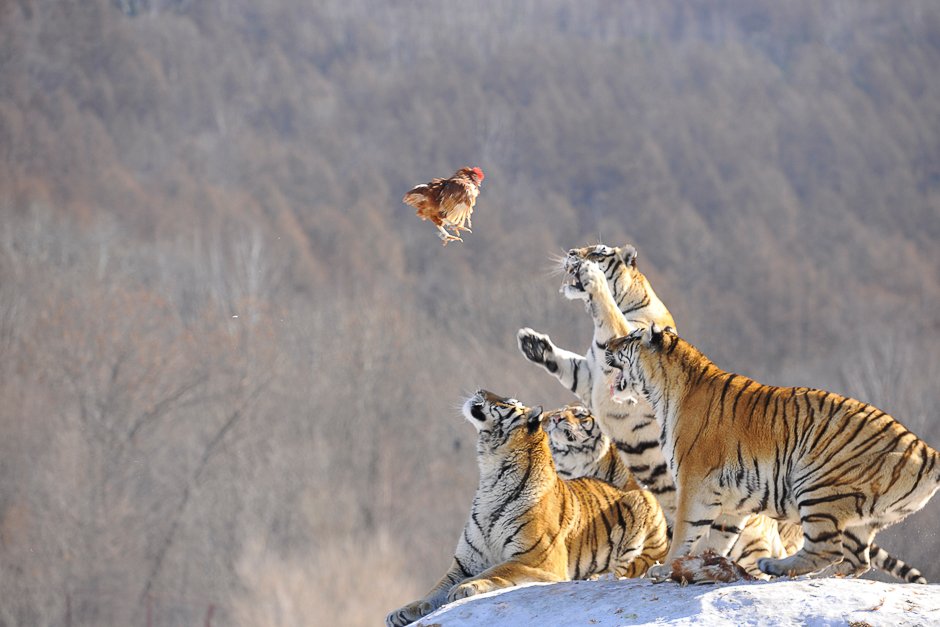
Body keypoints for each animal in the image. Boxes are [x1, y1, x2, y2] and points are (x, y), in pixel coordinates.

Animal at [386, 392, 672, 627]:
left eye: (507, 402)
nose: (479, 390)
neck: (490, 474)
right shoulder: (463, 564)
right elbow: (433, 590)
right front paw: (403, 611)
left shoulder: (537, 558)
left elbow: (499, 570)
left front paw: (467, 587)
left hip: (643, 510)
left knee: (632, 566)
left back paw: (599, 576)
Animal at [604, 324, 940, 584]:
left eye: (630, 337)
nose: (607, 344)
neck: (664, 392)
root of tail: (923, 447)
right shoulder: (731, 499)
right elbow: (718, 538)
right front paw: (699, 565)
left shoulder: (694, 483)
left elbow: (686, 531)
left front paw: (664, 568)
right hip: (860, 519)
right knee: (857, 560)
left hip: (817, 485)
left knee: (826, 550)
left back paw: (775, 567)